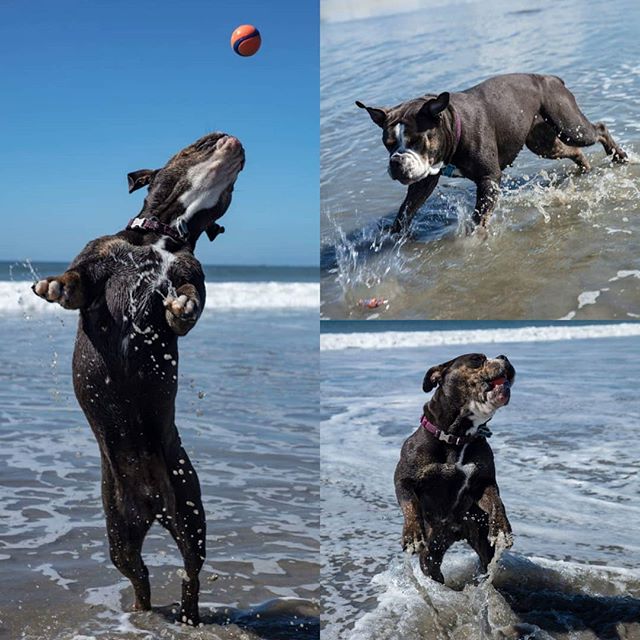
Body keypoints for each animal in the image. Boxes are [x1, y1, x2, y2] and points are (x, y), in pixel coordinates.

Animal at [31, 131, 245, 624]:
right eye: (199, 142)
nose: (233, 138)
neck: (161, 237)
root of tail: (149, 504)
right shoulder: (95, 262)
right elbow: (75, 280)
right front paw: (55, 285)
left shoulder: (191, 277)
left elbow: (189, 300)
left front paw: (180, 308)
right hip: (118, 532)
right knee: (139, 573)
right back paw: (144, 610)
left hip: (189, 512)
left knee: (190, 571)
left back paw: (186, 614)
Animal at [358, 73, 628, 232]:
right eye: (388, 144)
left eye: (416, 140)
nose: (396, 162)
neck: (453, 123)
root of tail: (551, 78)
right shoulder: (423, 182)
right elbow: (406, 210)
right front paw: (394, 236)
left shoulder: (489, 178)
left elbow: (480, 215)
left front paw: (473, 239)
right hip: (543, 143)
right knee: (573, 151)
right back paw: (586, 166)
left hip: (570, 125)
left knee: (599, 129)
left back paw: (618, 155)